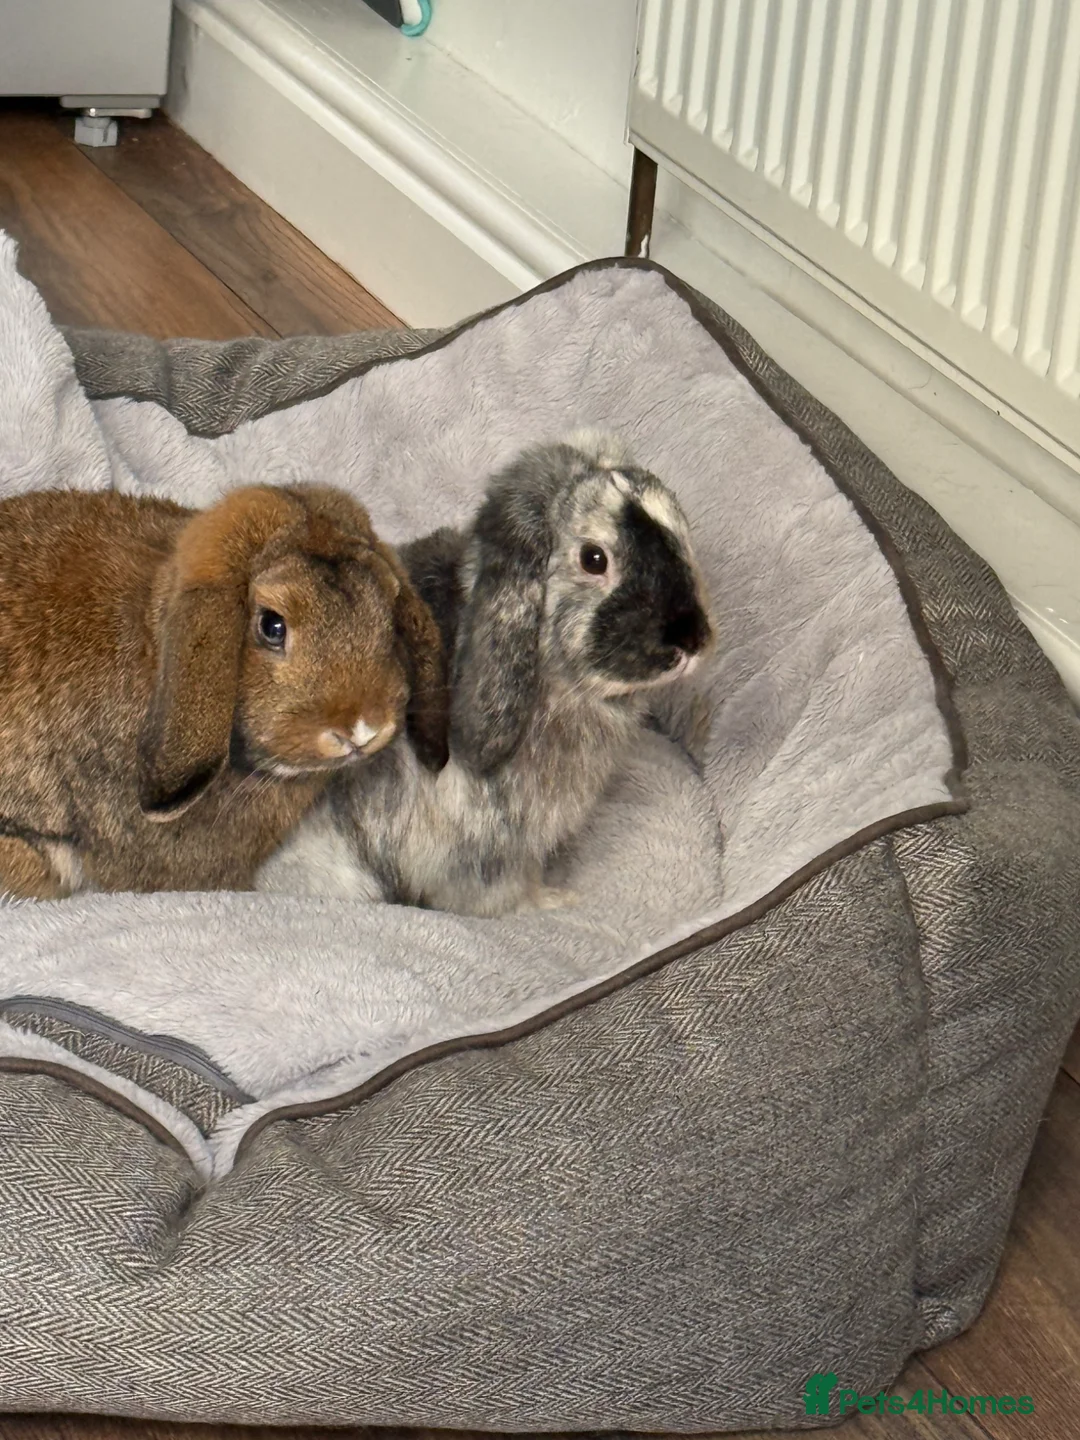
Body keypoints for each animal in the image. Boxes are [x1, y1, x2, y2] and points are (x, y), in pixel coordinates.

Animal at [258, 433, 713, 917]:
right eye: (593, 558)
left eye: (678, 522)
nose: (691, 640)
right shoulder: (487, 853)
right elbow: (504, 891)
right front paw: (552, 902)